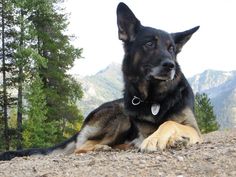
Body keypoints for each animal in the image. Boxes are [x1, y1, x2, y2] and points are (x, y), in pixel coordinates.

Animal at [0, 2, 202, 160]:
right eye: (149, 44)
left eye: (171, 49)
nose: (170, 65)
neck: (155, 98)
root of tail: (82, 126)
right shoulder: (143, 129)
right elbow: (161, 127)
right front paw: (156, 138)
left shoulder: (194, 129)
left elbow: (170, 123)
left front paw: (170, 139)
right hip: (120, 114)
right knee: (81, 148)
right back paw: (104, 147)